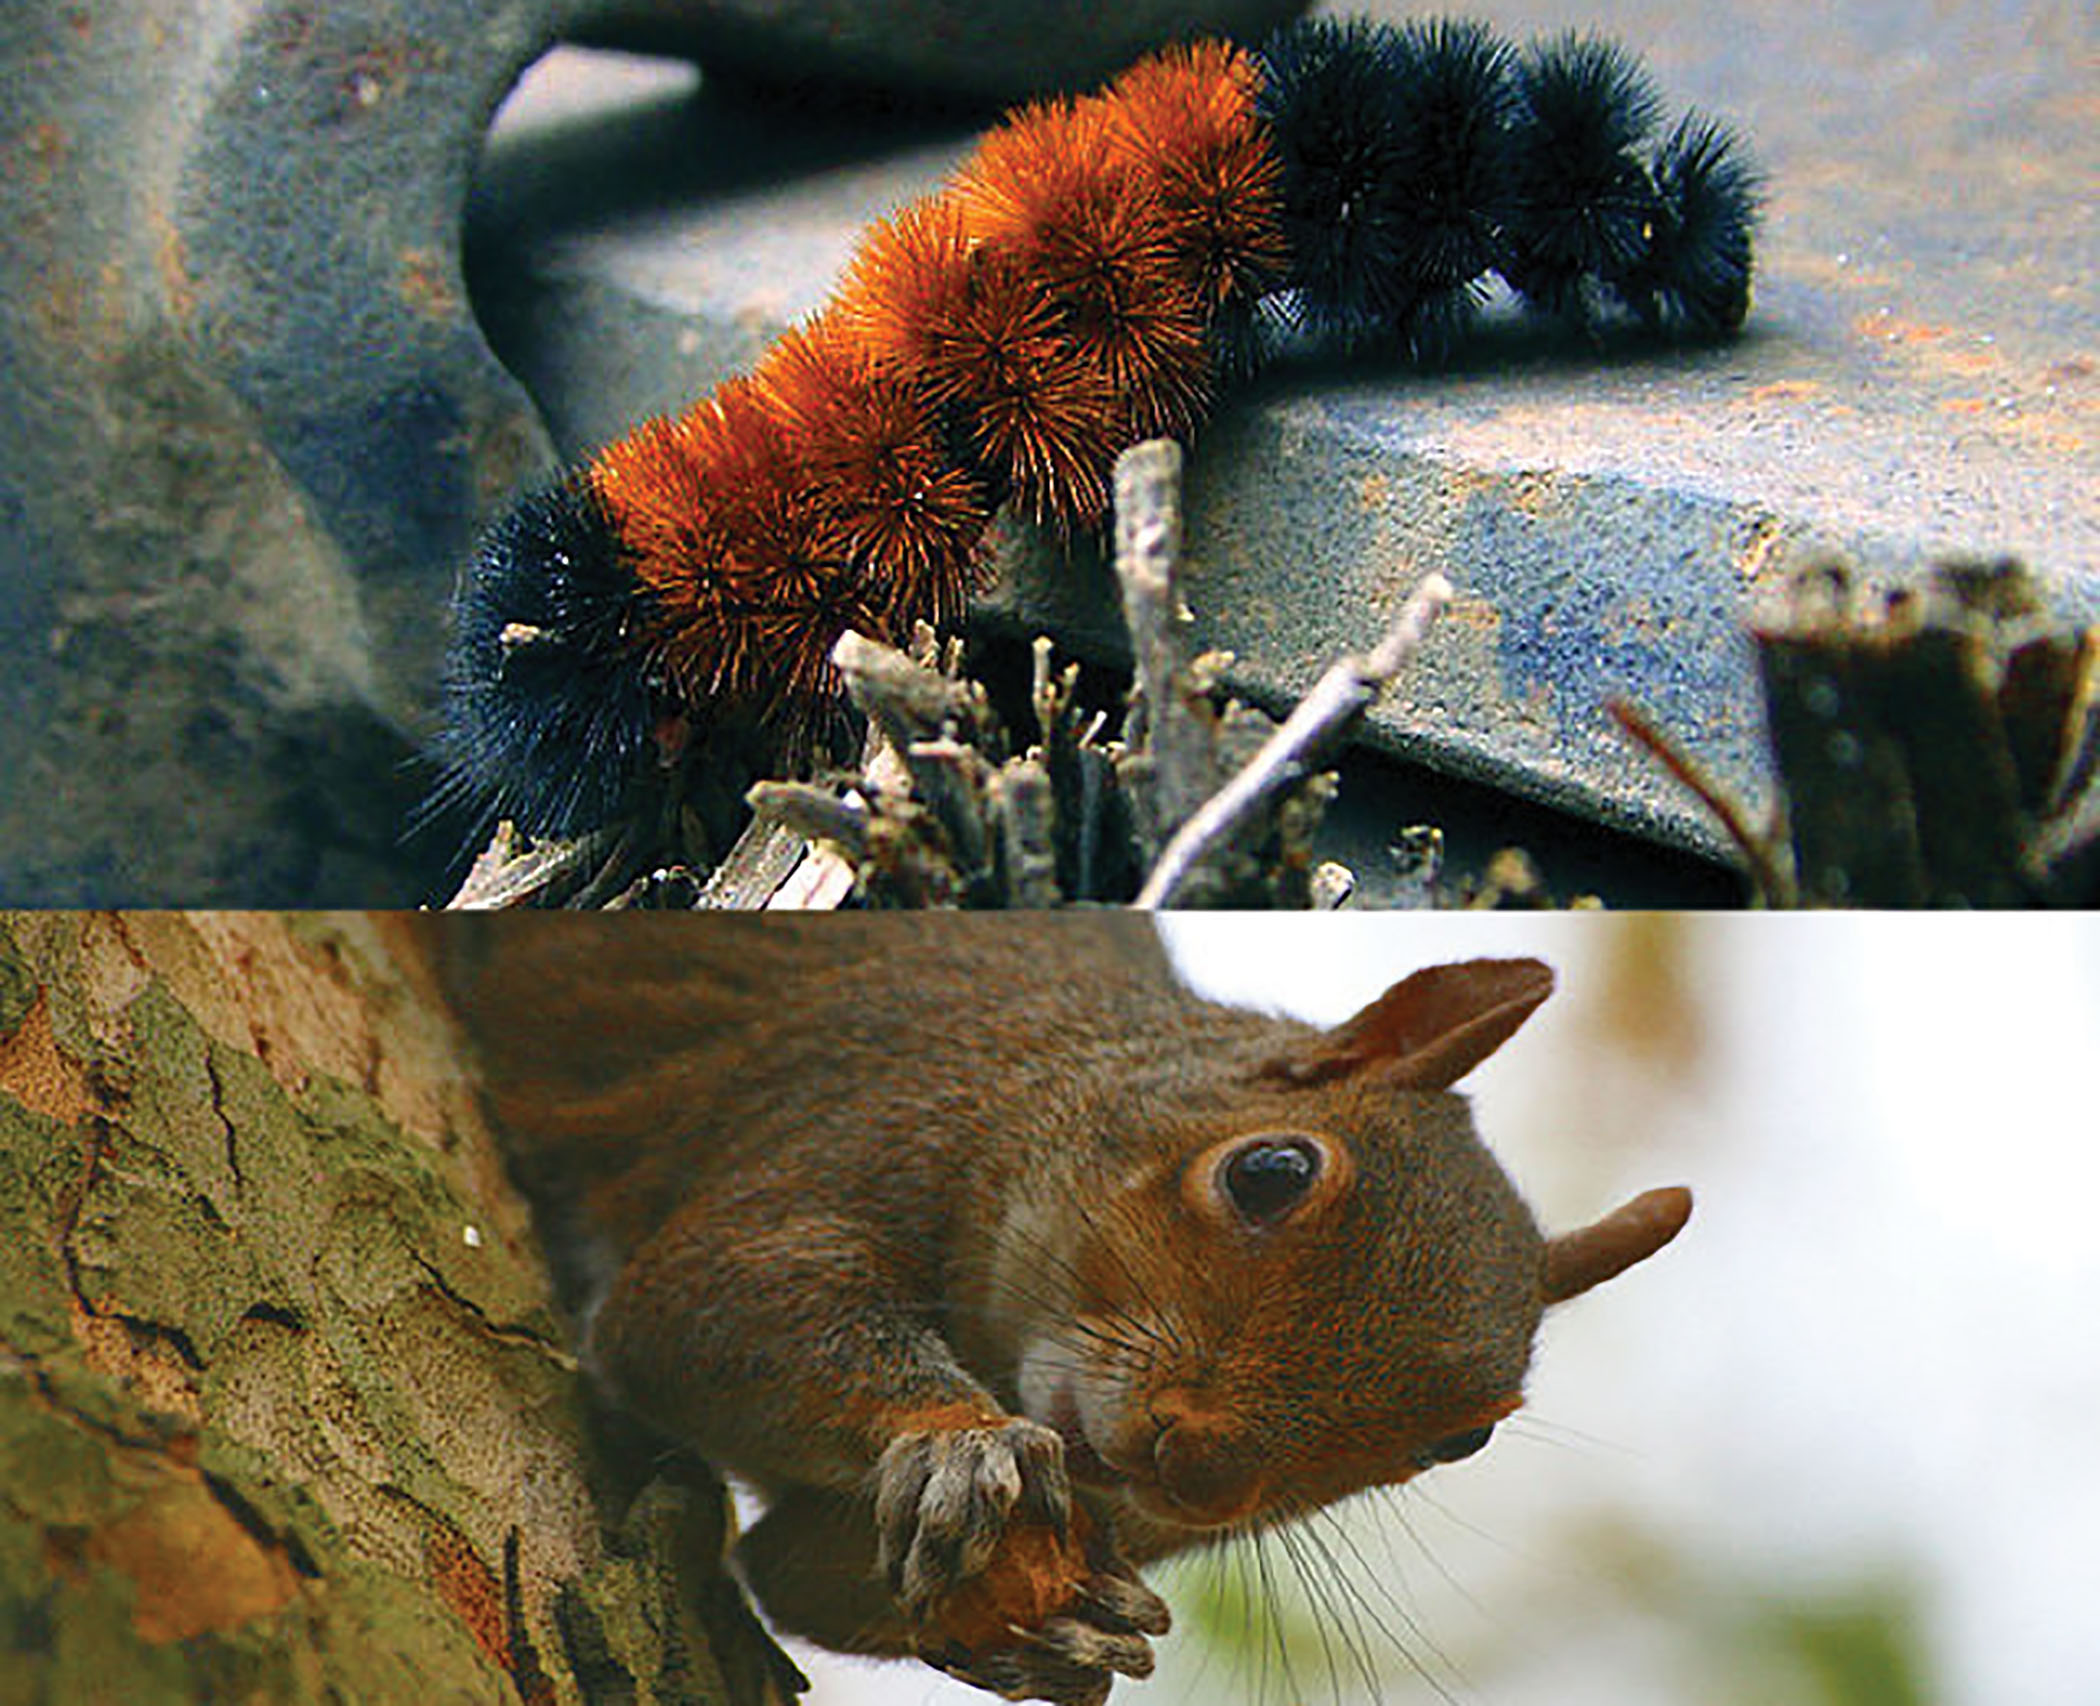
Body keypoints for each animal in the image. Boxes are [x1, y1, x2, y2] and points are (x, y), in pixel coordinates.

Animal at [434, 920, 1696, 1706]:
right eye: (1270, 1171)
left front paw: (1072, 1626)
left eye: (1461, 1436)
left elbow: (789, 1567)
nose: (1196, 1469)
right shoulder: (863, 1106)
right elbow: (709, 1299)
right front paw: (960, 1441)